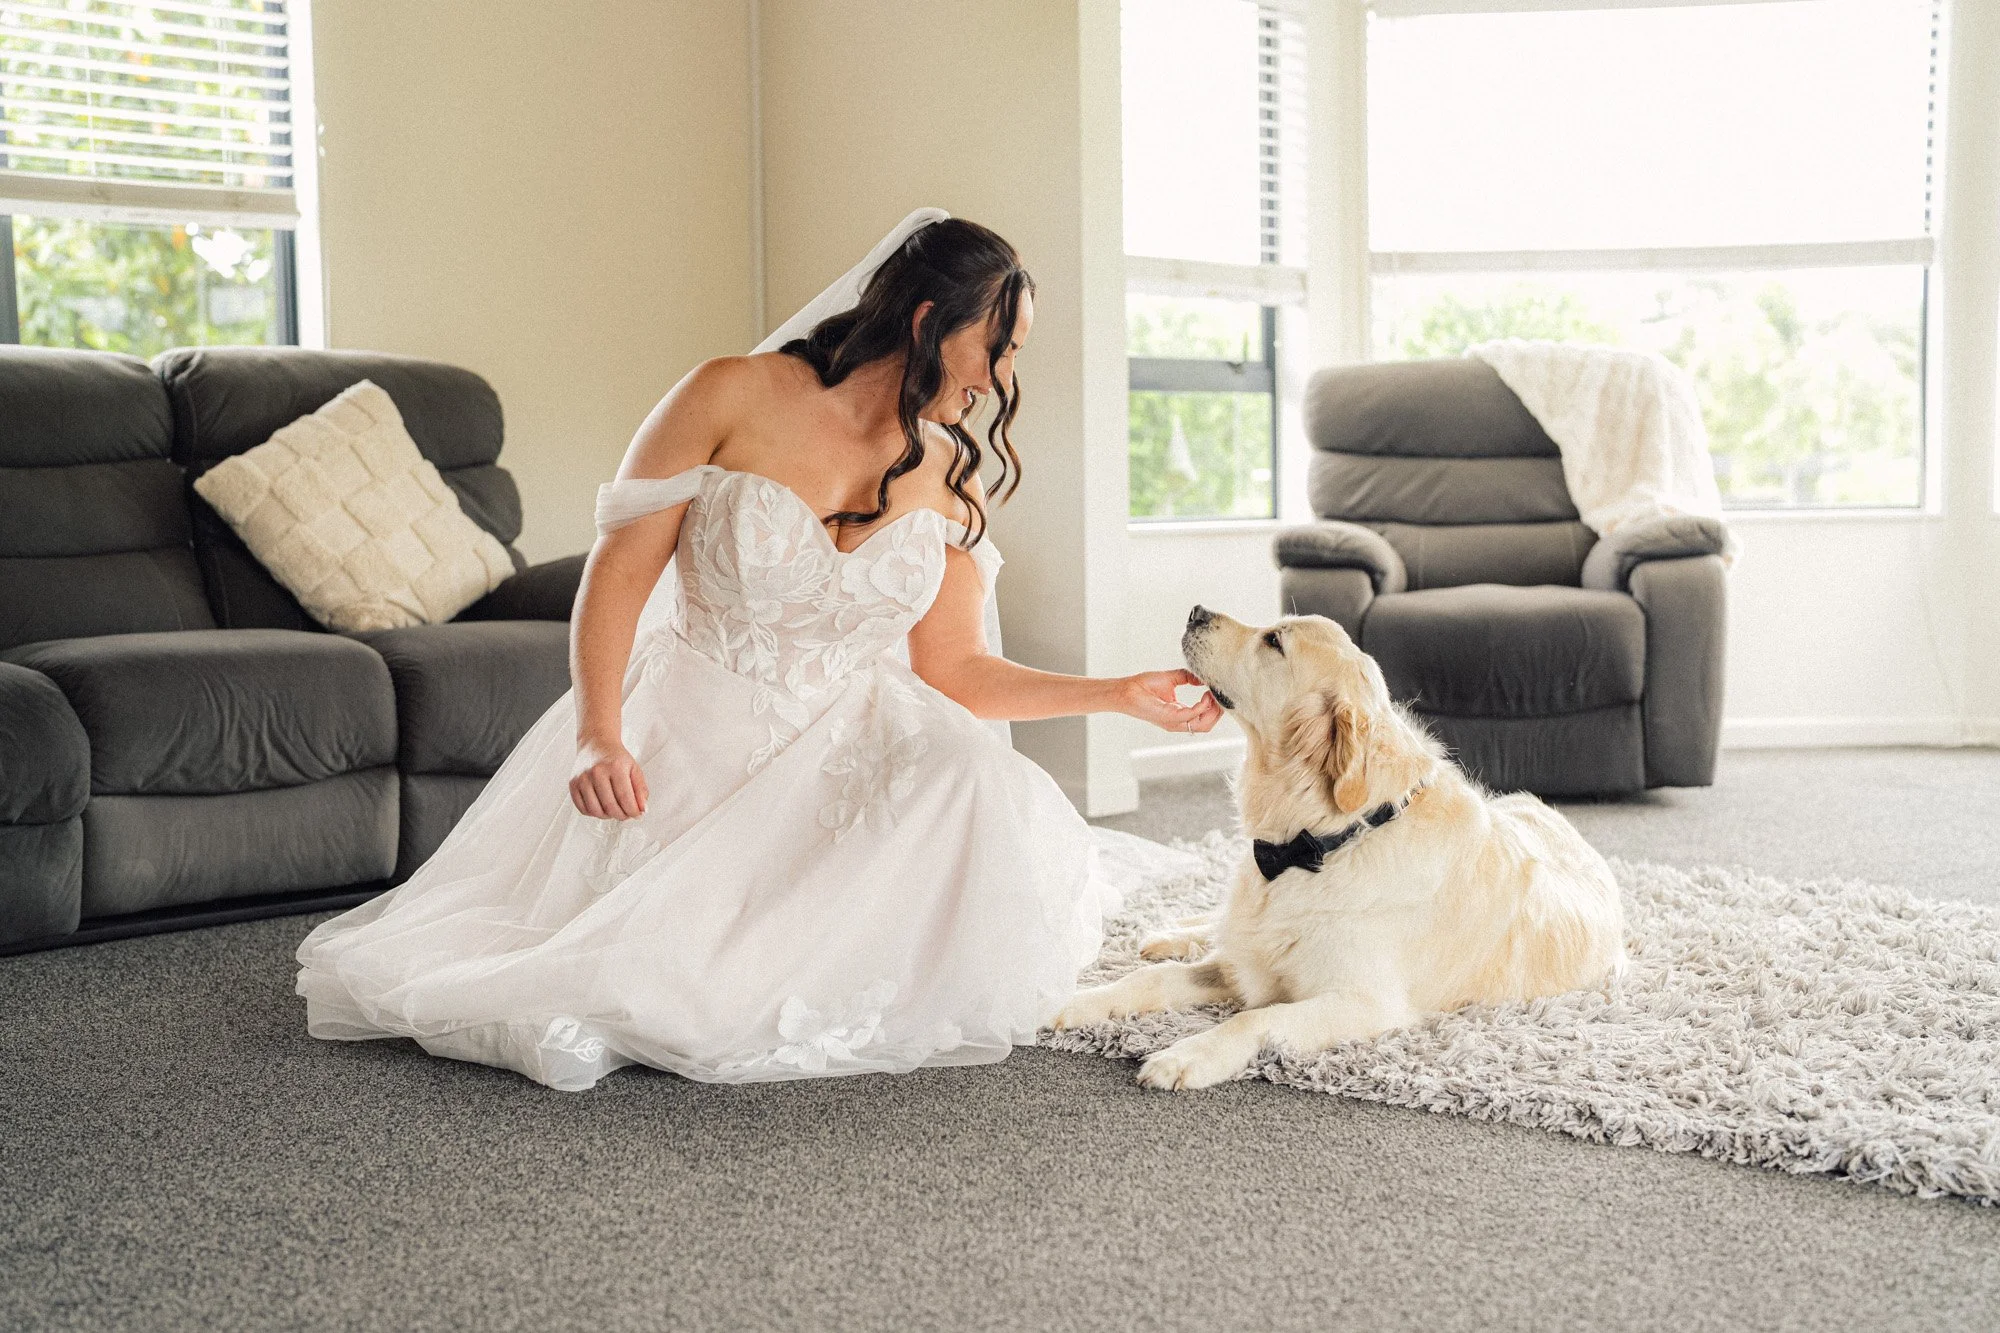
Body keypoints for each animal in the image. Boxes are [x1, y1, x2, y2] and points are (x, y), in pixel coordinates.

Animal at [1054, 606, 1627, 1090]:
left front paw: (1185, 1055)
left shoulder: (1368, 1004)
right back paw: (1169, 933)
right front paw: (1071, 1002)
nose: (1196, 611)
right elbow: (1150, 980)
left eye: (1274, 641)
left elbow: (1256, 1017)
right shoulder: (1249, 960)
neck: (1321, 841)